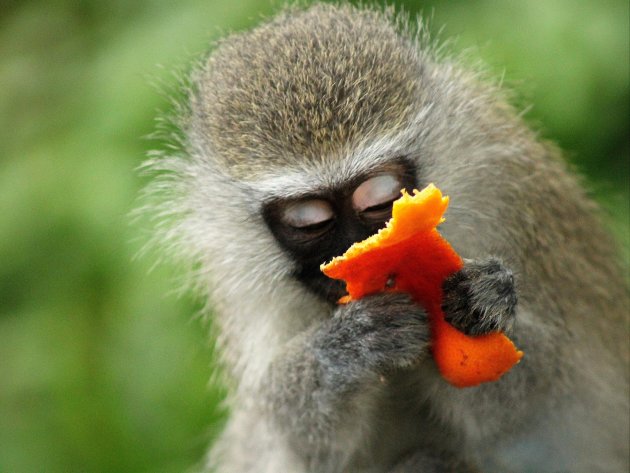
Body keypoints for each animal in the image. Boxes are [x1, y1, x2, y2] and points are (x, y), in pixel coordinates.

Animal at [144, 3, 630, 472]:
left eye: (379, 200)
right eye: (308, 223)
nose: (354, 257)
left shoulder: (508, 193)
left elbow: (543, 413)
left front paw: (487, 300)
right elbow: (301, 445)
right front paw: (341, 351)